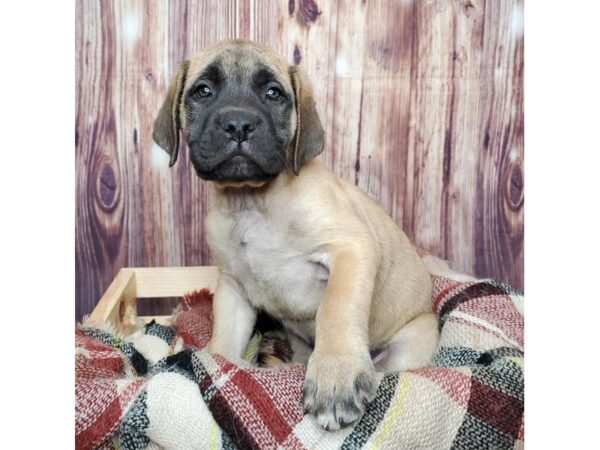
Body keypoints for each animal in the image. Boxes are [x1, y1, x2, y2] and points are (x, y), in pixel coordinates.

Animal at [152, 38, 438, 428]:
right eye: (203, 91)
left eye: (273, 93)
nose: (238, 124)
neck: (252, 202)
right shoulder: (233, 288)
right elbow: (223, 342)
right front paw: (214, 367)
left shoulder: (351, 249)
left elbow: (336, 309)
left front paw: (336, 374)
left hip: (408, 345)